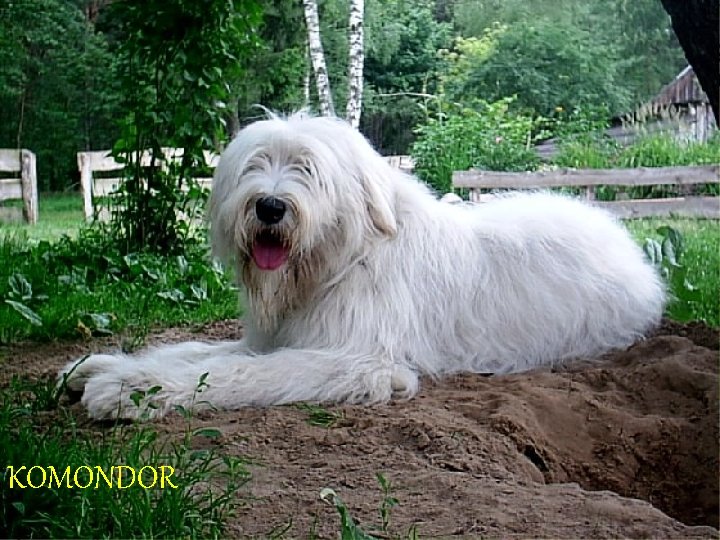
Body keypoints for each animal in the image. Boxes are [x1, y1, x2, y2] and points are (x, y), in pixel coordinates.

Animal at [60, 113, 664, 418]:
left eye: (308, 169)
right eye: (255, 164)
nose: (270, 206)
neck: (342, 260)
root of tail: (623, 238)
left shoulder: (356, 359)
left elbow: (236, 374)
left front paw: (128, 390)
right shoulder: (274, 337)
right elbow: (198, 351)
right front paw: (97, 366)